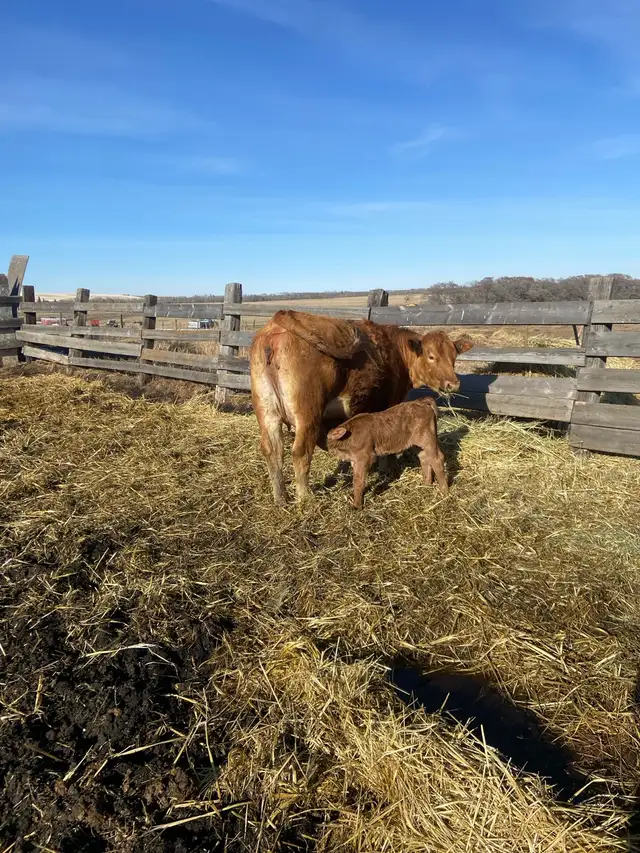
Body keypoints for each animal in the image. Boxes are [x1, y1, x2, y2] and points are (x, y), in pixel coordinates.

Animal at [249, 309, 472, 504]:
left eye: (454, 357)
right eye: (431, 356)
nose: (453, 384)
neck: (396, 351)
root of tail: (276, 323)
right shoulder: (390, 401)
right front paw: (386, 469)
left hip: (267, 412)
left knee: (272, 450)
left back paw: (280, 498)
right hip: (308, 414)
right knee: (300, 452)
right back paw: (305, 497)